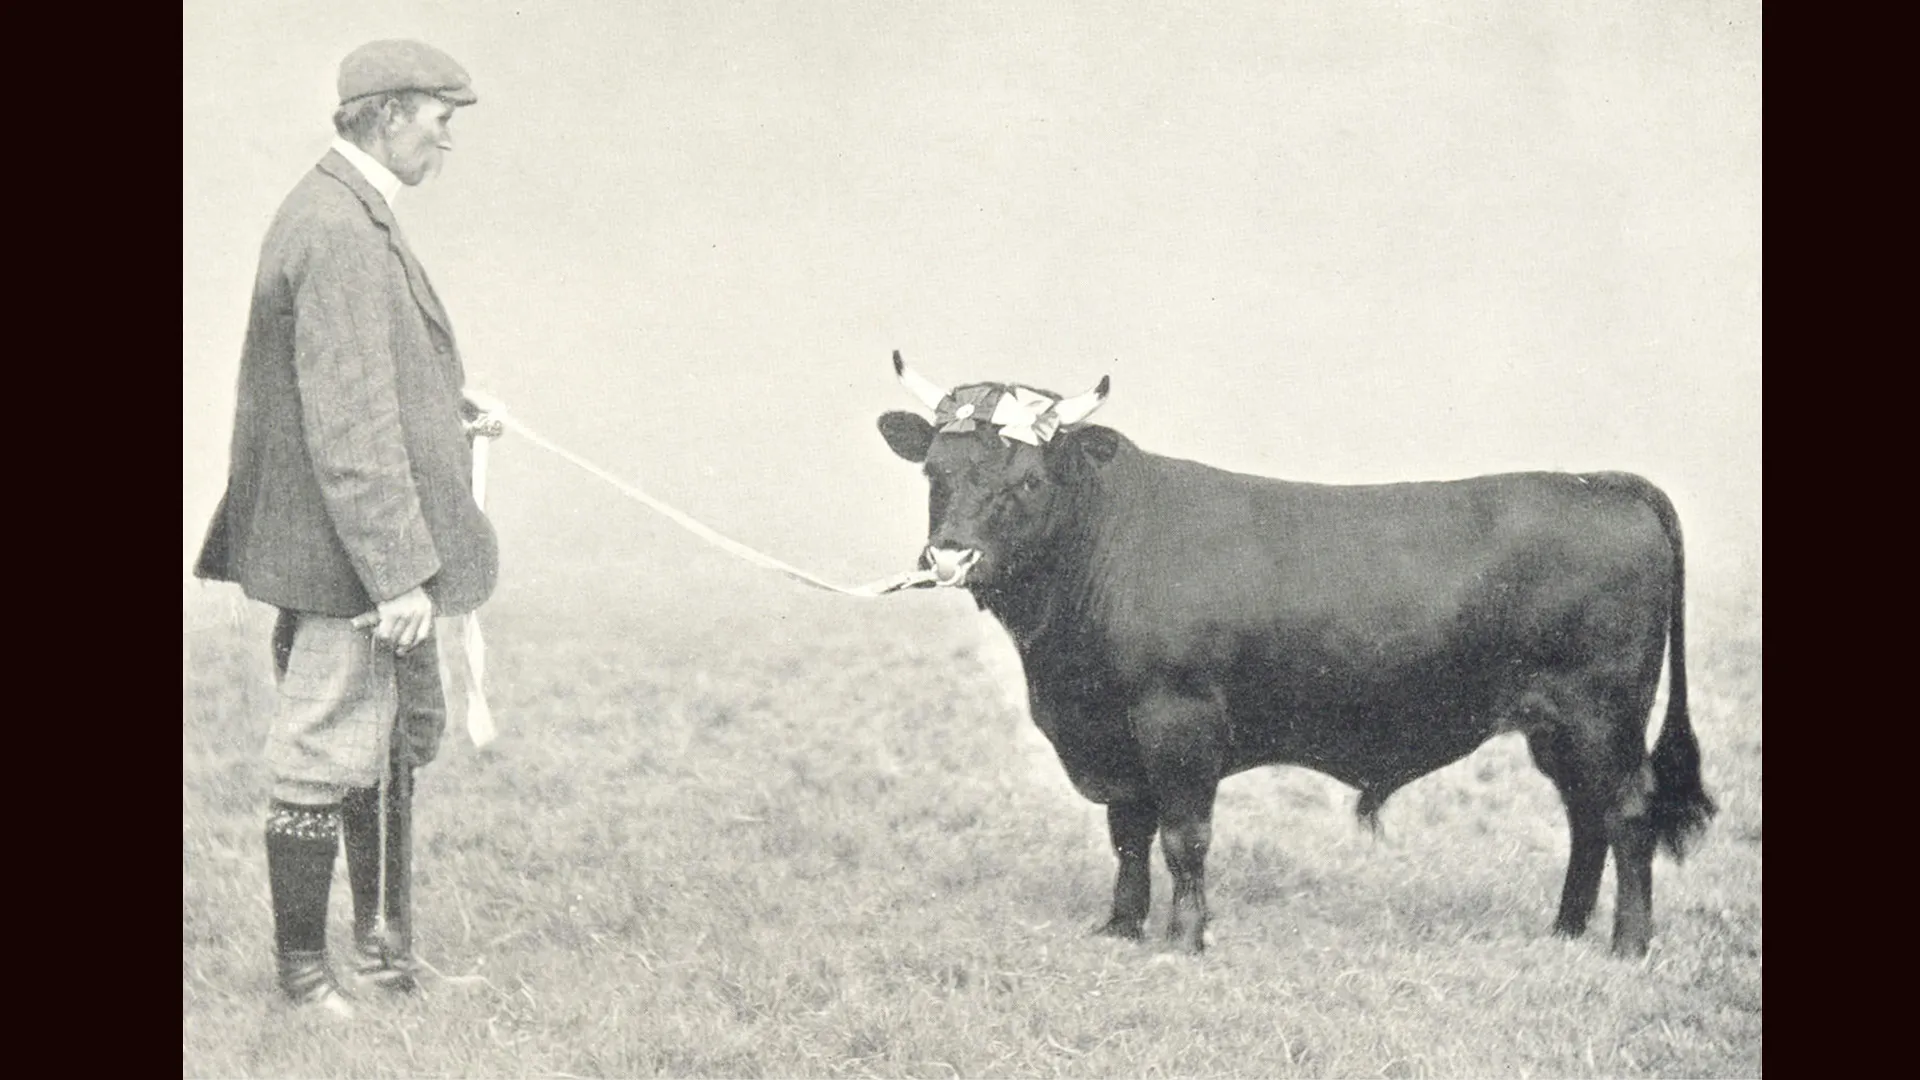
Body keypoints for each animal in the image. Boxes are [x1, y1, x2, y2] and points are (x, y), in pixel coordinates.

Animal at [876, 352, 1715, 958]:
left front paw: (1185, 941)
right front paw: (1119, 927)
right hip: (1558, 725)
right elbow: (1128, 834)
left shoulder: (1177, 719)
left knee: (1626, 813)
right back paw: (1565, 931)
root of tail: (1600, 482)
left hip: (1601, 714)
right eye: (934, 472)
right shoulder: (1115, 733)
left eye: (1026, 481)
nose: (949, 556)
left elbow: (1183, 836)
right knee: (1586, 818)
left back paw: (1627, 945)